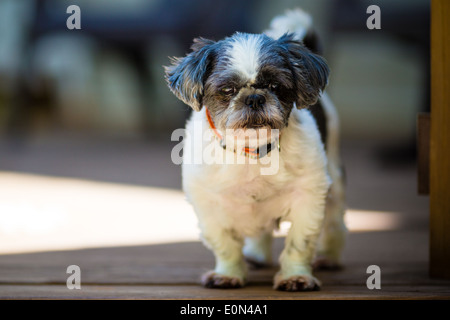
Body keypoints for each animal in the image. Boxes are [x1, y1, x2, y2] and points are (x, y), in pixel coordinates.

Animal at [164, 8, 344, 292]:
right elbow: (224, 244)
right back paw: (257, 255)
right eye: (227, 89)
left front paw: (295, 276)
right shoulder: (208, 203)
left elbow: (299, 243)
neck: (252, 150)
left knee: (335, 222)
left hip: (334, 180)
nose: (255, 98)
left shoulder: (308, 196)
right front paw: (227, 274)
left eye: (275, 86)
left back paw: (330, 257)